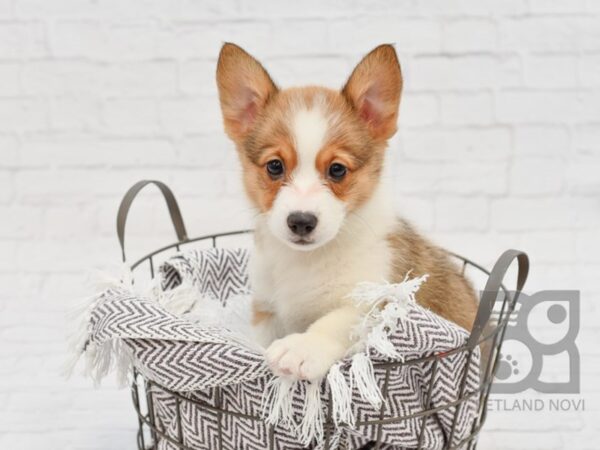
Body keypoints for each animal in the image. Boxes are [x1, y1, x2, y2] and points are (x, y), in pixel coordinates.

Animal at [216, 42, 478, 382]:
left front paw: (301, 347)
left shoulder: (379, 296)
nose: (301, 222)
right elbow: (259, 339)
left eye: (337, 169)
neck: (305, 262)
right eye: (274, 166)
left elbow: (338, 320)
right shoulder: (267, 309)